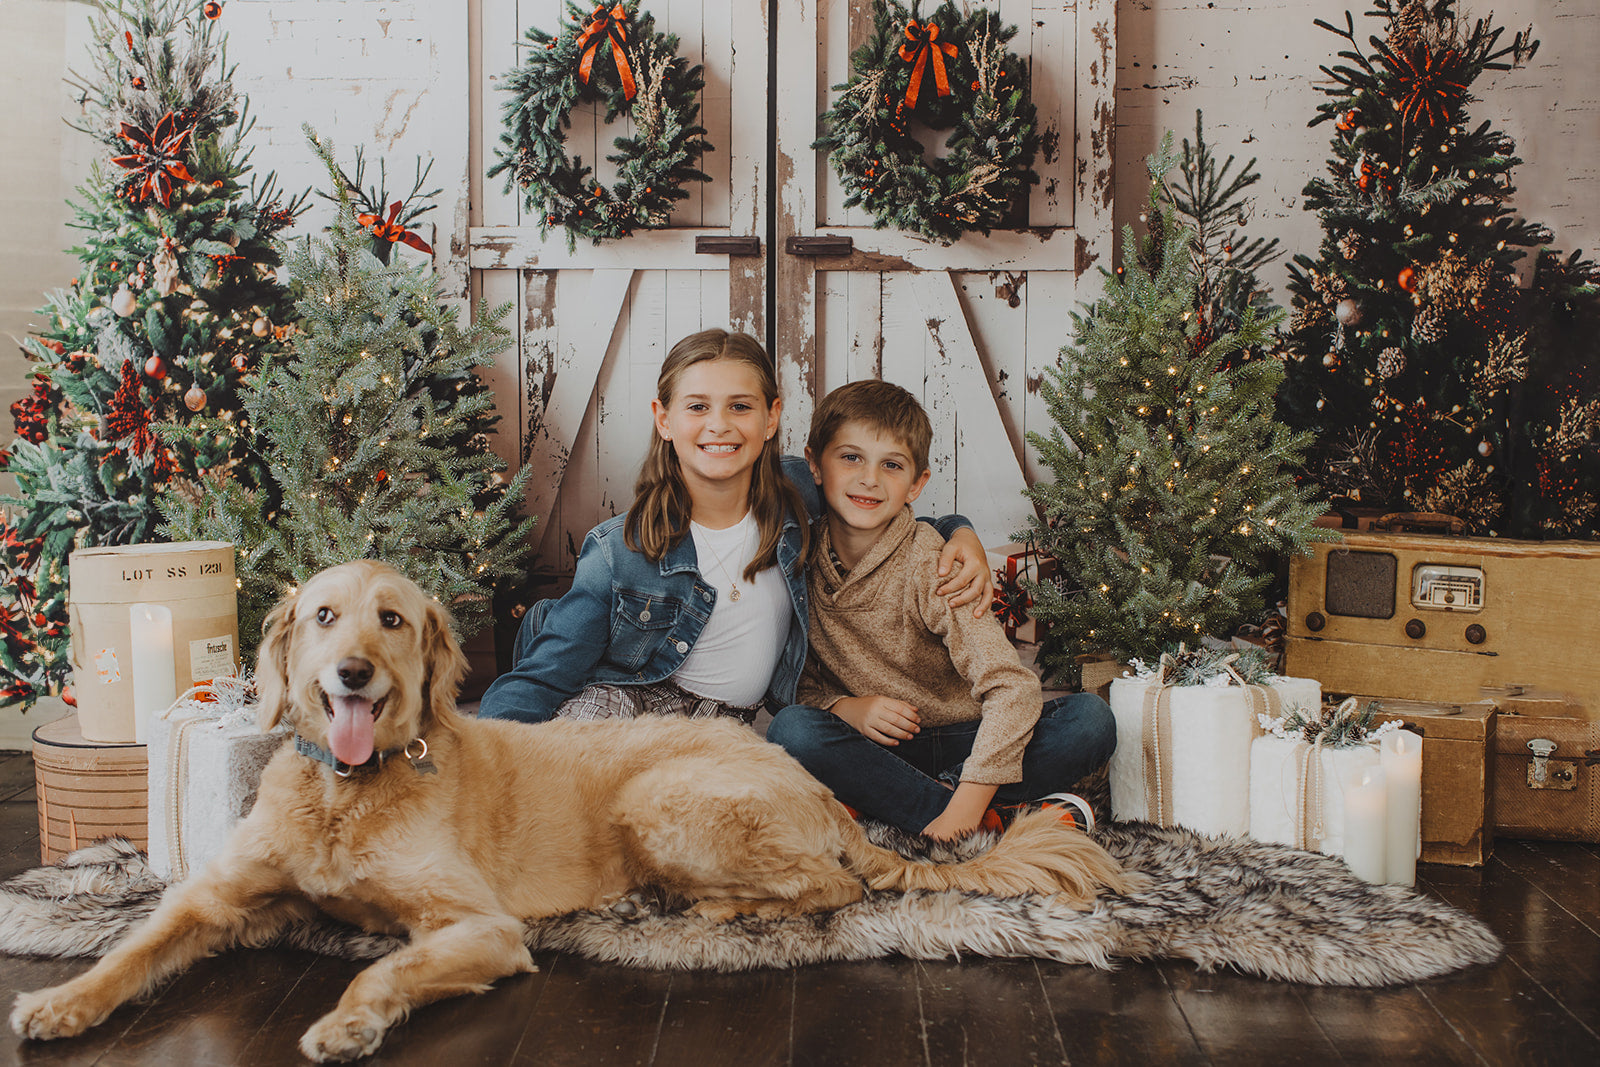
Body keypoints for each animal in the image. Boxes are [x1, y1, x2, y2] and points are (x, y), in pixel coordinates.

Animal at [15, 563, 1139, 1062]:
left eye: (393, 620)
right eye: (325, 615)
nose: (351, 673)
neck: (348, 790)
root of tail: (815, 786)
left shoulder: (478, 925)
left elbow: (385, 963)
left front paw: (348, 1019)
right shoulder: (213, 897)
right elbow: (131, 946)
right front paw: (59, 1003)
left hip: (661, 800)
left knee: (827, 887)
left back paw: (715, 911)